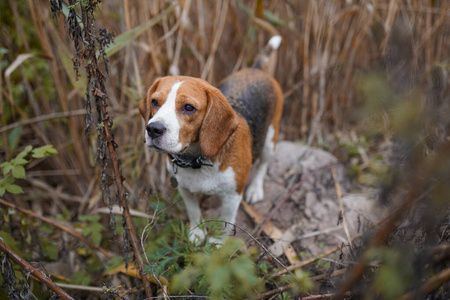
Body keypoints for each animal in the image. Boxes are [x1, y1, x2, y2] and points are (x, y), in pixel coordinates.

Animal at [139, 36, 284, 244]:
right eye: (154, 102)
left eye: (188, 107)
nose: (153, 129)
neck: (197, 160)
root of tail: (256, 69)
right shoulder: (184, 188)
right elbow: (194, 212)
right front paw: (196, 234)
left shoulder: (233, 196)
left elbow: (226, 222)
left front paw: (218, 244)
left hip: (270, 138)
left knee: (263, 164)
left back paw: (256, 189)